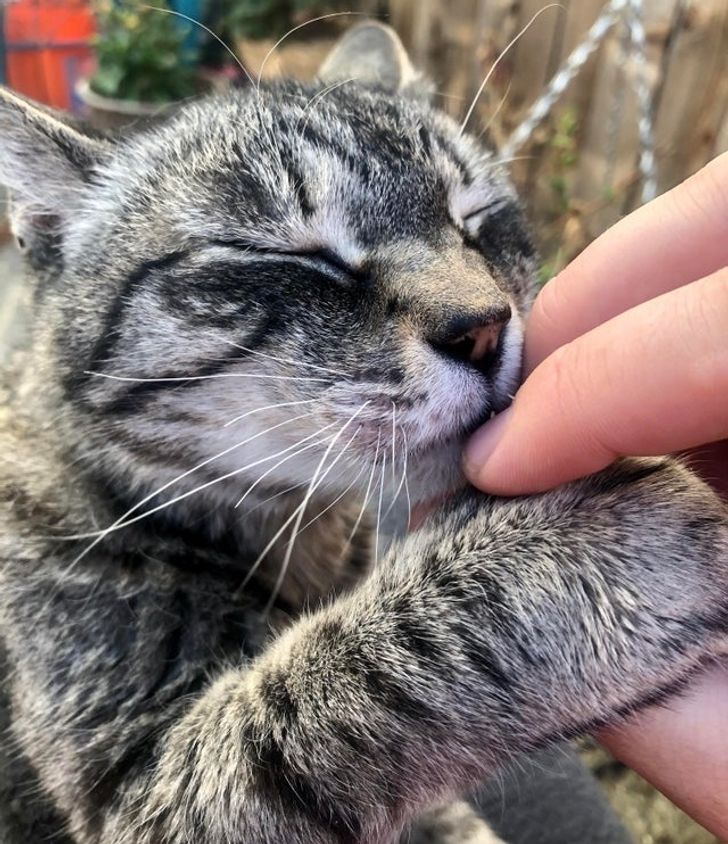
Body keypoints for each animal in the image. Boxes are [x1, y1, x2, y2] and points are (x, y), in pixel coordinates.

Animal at [1, 19, 728, 844]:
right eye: (288, 252)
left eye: (477, 220)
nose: (484, 327)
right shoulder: (144, 786)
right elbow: (342, 678)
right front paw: (560, 551)